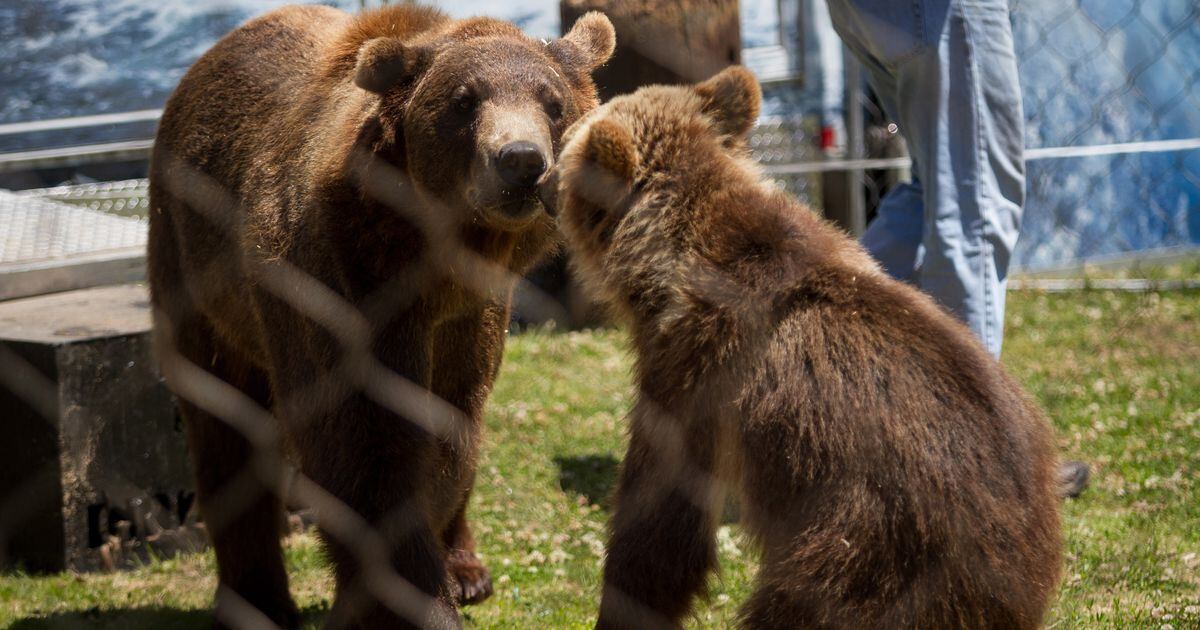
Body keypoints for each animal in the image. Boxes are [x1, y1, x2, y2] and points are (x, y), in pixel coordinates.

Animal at [148, 4, 614, 628]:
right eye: (464, 100)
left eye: (553, 101)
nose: (520, 160)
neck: (429, 259)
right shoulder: (336, 284)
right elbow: (365, 451)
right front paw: (412, 600)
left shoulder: (470, 317)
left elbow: (449, 438)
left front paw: (444, 577)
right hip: (195, 265)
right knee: (222, 427)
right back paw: (259, 599)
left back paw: (467, 569)